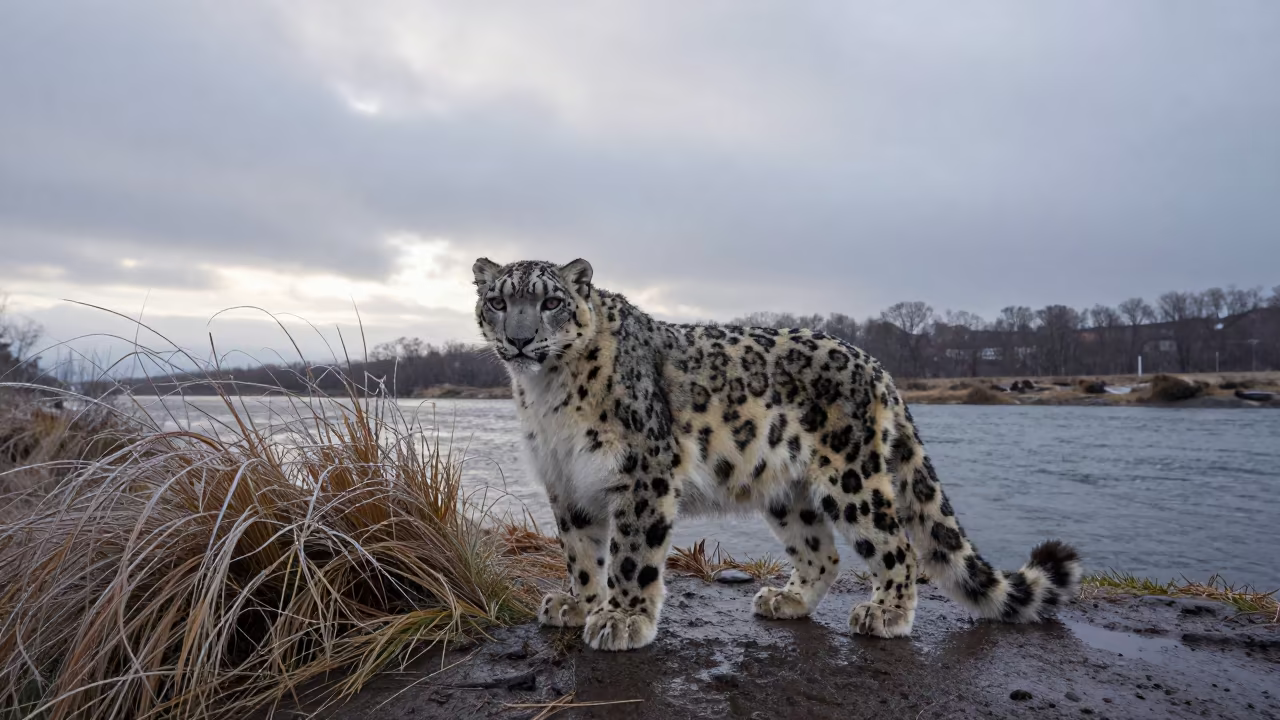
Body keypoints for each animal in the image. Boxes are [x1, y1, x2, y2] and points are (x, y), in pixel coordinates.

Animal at [472, 257, 1082, 651]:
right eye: (498, 301)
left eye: (552, 301)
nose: (521, 339)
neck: (547, 397)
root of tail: (876, 365)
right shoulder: (565, 481)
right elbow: (581, 553)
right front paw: (576, 606)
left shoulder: (642, 474)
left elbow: (629, 555)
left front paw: (621, 620)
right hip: (789, 493)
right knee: (823, 553)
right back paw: (787, 602)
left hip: (853, 477)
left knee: (900, 546)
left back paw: (884, 614)